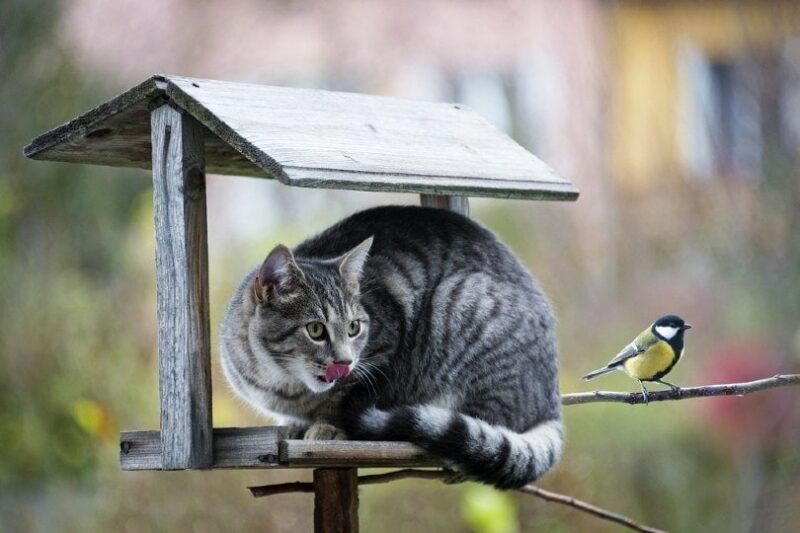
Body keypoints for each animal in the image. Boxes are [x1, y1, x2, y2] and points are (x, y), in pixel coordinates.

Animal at [219, 206, 564, 488]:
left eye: (354, 327)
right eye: (315, 329)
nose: (345, 362)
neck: (283, 384)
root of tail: (551, 400)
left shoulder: (383, 351)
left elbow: (345, 399)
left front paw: (328, 426)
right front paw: (293, 426)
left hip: (462, 302)